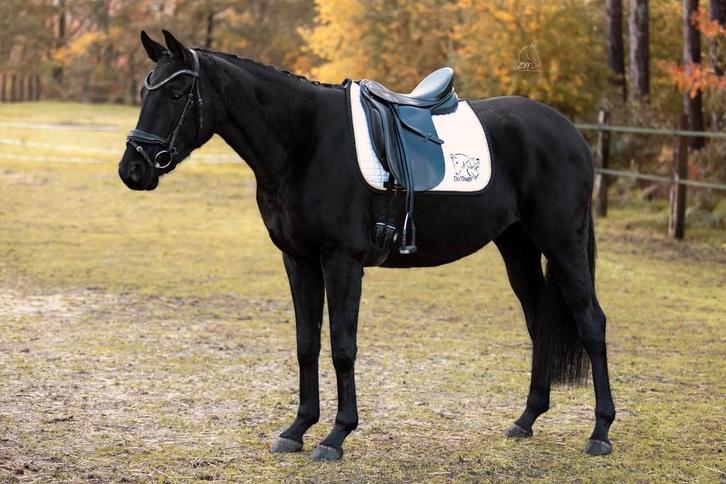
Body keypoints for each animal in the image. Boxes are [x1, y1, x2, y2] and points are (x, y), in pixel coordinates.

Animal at [118, 30, 615, 461]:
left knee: (591, 322)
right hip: (517, 247)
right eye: (145, 92)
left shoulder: (342, 262)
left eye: (176, 95)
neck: (303, 141)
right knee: (539, 323)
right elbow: (306, 344)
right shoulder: (298, 262)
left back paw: (600, 432)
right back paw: (527, 419)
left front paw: (336, 435)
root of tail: (569, 131)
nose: (132, 170)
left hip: (563, 245)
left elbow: (342, 346)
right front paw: (298, 428)